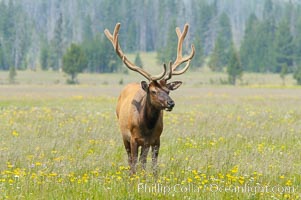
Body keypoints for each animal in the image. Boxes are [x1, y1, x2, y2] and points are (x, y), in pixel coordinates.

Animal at [104, 22, 195, 174]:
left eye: (168, 90)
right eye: (153, 91)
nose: (171, 103)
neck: (146, 126)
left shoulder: (156, 139)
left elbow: (153, 165)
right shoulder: (134, 138)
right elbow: (134, 163)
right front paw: (133, 178)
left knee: (143, 160)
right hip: (124, 135)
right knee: (130, 158)